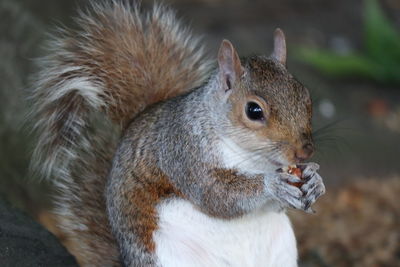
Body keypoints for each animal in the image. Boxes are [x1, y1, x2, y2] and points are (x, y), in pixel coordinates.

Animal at [29, 1, 324, 266]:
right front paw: (272, 184)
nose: (305, 151)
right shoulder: (182, 150)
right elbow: (215, 195)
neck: (252, 156)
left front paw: (315, 180)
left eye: (306, 97)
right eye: (253, 110)